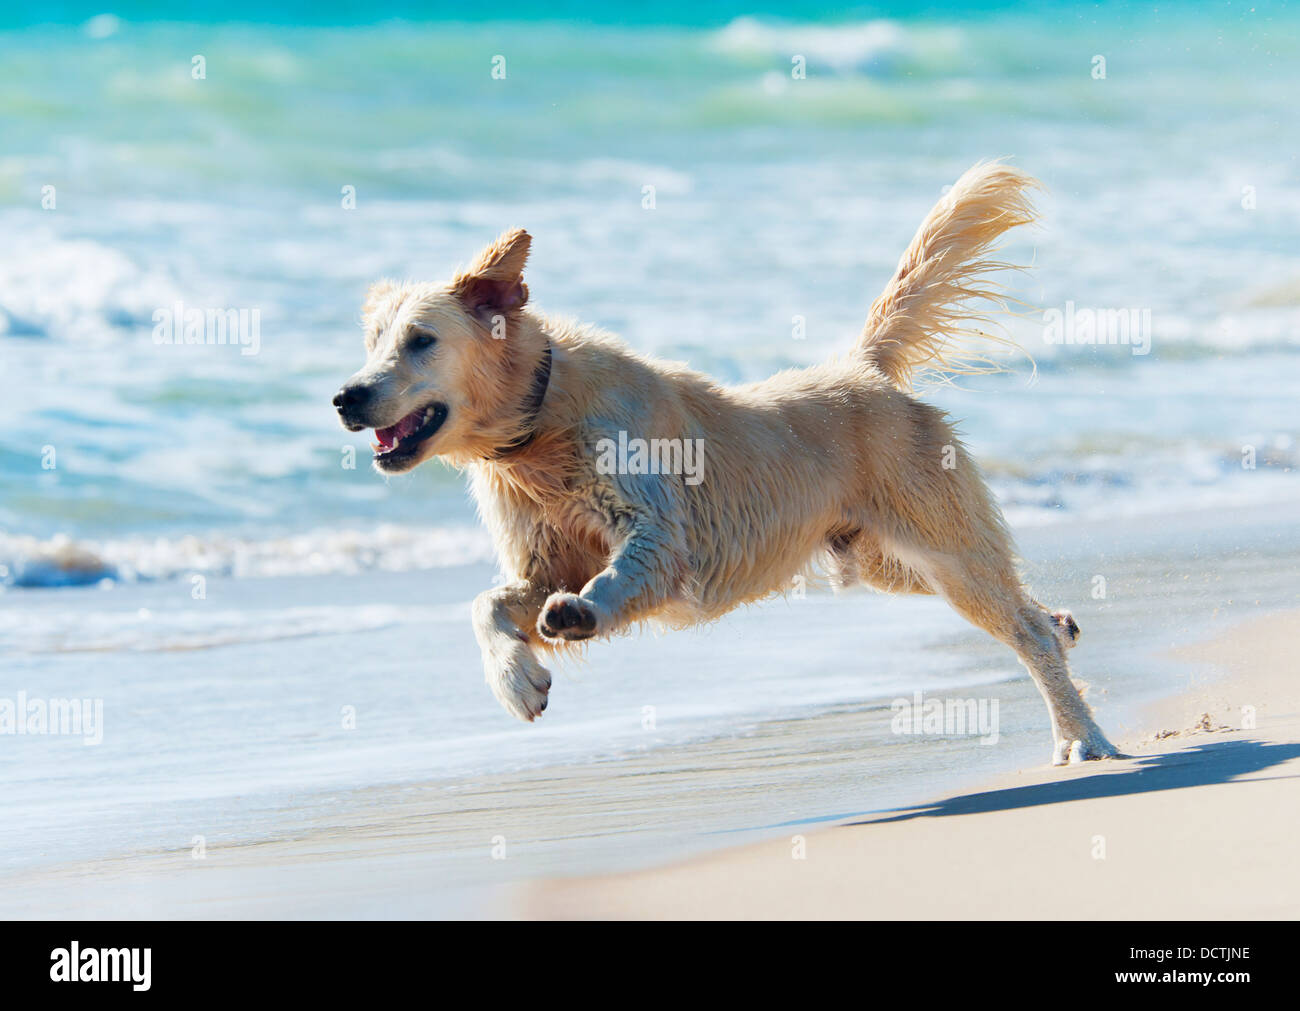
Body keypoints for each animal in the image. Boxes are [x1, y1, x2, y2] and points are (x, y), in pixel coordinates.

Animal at [332, 161, 1118, 764]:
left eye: (421, 340)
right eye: (373, 343)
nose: (346, 396)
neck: (540, 420)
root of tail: (865, 369)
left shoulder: (657, 528)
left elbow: (621, 572)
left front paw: (581, 612)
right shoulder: (542, 559)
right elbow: (489, 602)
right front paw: (516, 679)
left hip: (941, 544)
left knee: (1020, 627)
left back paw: (1081, 737)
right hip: (883, 560)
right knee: (1025, 609)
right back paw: (1063, 624)